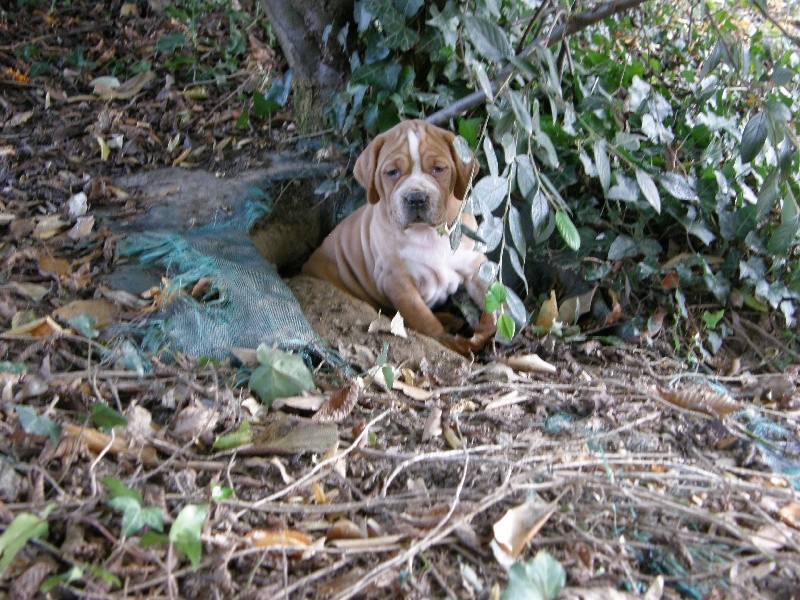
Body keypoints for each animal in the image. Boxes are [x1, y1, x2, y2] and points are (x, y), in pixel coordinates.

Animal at [304, 120, 496, 356]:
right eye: (392, 172)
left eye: (438, 169)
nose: (416, 198)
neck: (426, 233)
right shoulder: (397, 281)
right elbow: (424, 320)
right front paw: (451, 342)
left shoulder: (473, 262)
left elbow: (492, 297)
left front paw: (487, 327)